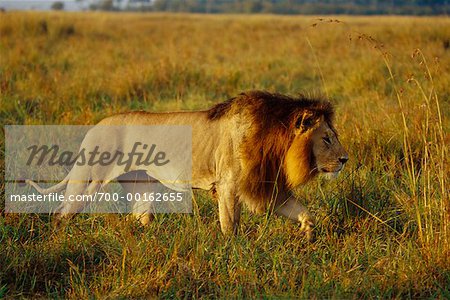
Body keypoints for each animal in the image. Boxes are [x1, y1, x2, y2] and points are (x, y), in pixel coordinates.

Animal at [24, 90, 348, 240]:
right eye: (327, 138)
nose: (345, 159)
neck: (276, 140)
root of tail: (94, 128)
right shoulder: (228, 185)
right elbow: (230, 224)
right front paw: (233, 250)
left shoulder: (266, 186)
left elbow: (303, 212)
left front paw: (308, 235)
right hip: (88, 180)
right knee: (61, 212)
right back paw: (58, 238)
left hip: (143, 185)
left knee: (140, 216)